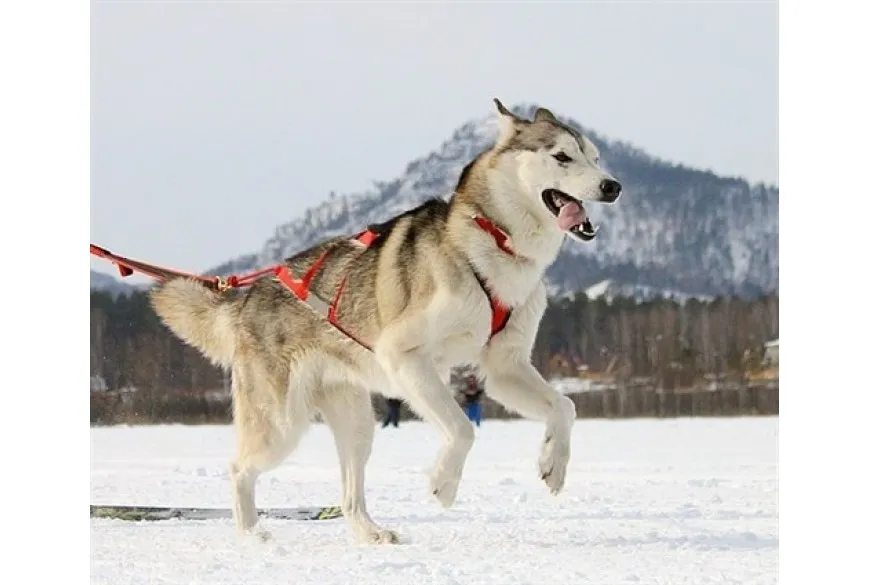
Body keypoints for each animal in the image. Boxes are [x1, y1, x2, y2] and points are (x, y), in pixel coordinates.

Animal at [153, 100, 624, 544]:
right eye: (562, 156)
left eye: (596, 157)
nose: (612, 186)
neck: (495, 243)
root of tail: (249, 297)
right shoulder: (404, 356)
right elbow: (461, 429)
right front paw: (443, 484)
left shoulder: (504, 367)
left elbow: (565, 406)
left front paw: (553, 463)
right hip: (281, 425)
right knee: (239, 469)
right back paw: (253, 534)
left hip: (357, 426)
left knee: (349, 494)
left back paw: (369, 532)